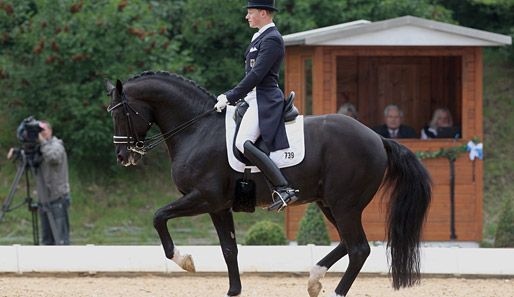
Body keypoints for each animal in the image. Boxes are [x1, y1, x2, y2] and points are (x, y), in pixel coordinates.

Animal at [106, 71, 430, 296]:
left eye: (120, 113)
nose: (123, 157)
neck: (197, 129)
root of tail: (377, 137)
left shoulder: (203, 198)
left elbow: (158, 216)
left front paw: (183, 259)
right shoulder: (219, 207)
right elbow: (229, 250)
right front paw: (233, 291)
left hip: (345, 204)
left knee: (359, 248)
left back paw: (334, 291)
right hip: (329, 203)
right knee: (347, 244)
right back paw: (314, 279)